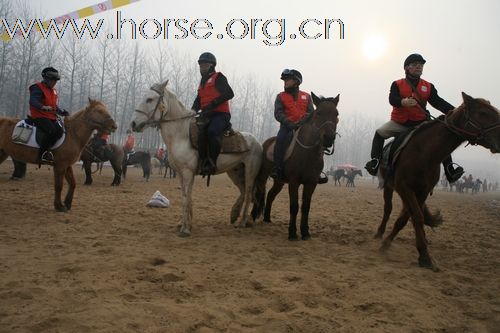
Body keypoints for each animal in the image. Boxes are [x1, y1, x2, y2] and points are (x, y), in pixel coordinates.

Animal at [129, 80, 264, 236]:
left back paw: (242, 222)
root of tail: (257, 142)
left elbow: (186, 198)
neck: (181, 135)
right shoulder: (181, 173)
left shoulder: (188, 172)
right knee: (243, 191)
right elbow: (186, 197)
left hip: (250, 172)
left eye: (150, 99)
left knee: (248, 193)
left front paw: (185, 228)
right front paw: (184, 223)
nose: (133, 123)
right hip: (235, 171)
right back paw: (235, 215)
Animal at [254, 92, 340, 239]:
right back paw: (253, 217)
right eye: (319, 113)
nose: (329, 138)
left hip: (279, 181)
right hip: (263, 176)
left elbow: (306, 206)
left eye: (336, 114)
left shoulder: (311, 183)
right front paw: (292, 233)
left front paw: (305, 232)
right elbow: (294, 206)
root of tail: (265, 143)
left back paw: (267, 218)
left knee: (270, 195)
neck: (307, 153)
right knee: (259, 194)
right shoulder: (294, 182)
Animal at [376, 91, 500, 270]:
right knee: (388, 208)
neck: (425, 153)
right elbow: (417, 217)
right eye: (483, 113)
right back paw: (379, 232)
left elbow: (409, 217)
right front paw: (422, 255)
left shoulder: (422, 191)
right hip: (389, 186)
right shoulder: (404, 186)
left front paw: (418, 249)